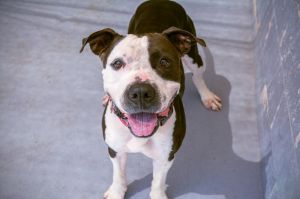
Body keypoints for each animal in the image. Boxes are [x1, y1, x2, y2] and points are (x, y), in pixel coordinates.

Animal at [81, 0, 221, 199]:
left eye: (164, 62)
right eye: (117, 63)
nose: (140, 92)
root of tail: (161, 1)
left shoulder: (166, 157)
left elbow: (158, 181)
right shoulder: (115, 150)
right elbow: (118, 174)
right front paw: (117, 192)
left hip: (193, 54)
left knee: (198, 75)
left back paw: (207, 96)